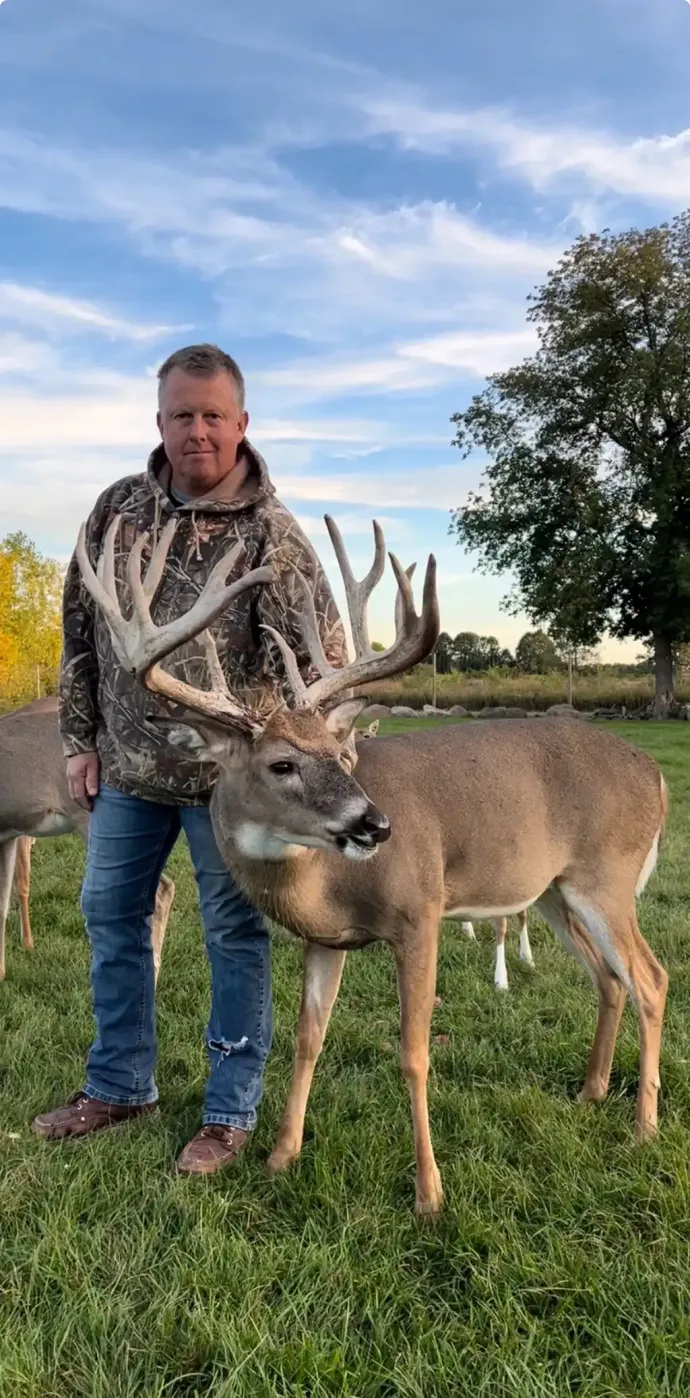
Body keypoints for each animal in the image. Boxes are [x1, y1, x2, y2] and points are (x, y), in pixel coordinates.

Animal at [75, 511, 669, 1219]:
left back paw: (643, 1127)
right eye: (282, 764)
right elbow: (307, 1039)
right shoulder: (324, 939)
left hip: (607, 876)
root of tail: (658, 775)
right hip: (556, 890)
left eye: (341, 754)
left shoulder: (421, 913)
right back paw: (590, 1092)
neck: (327, 885)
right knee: (609, 979)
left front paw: (429, 1193)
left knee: (652, 979)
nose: (377, 825)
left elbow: (413, 1053)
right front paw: (281, 1156)